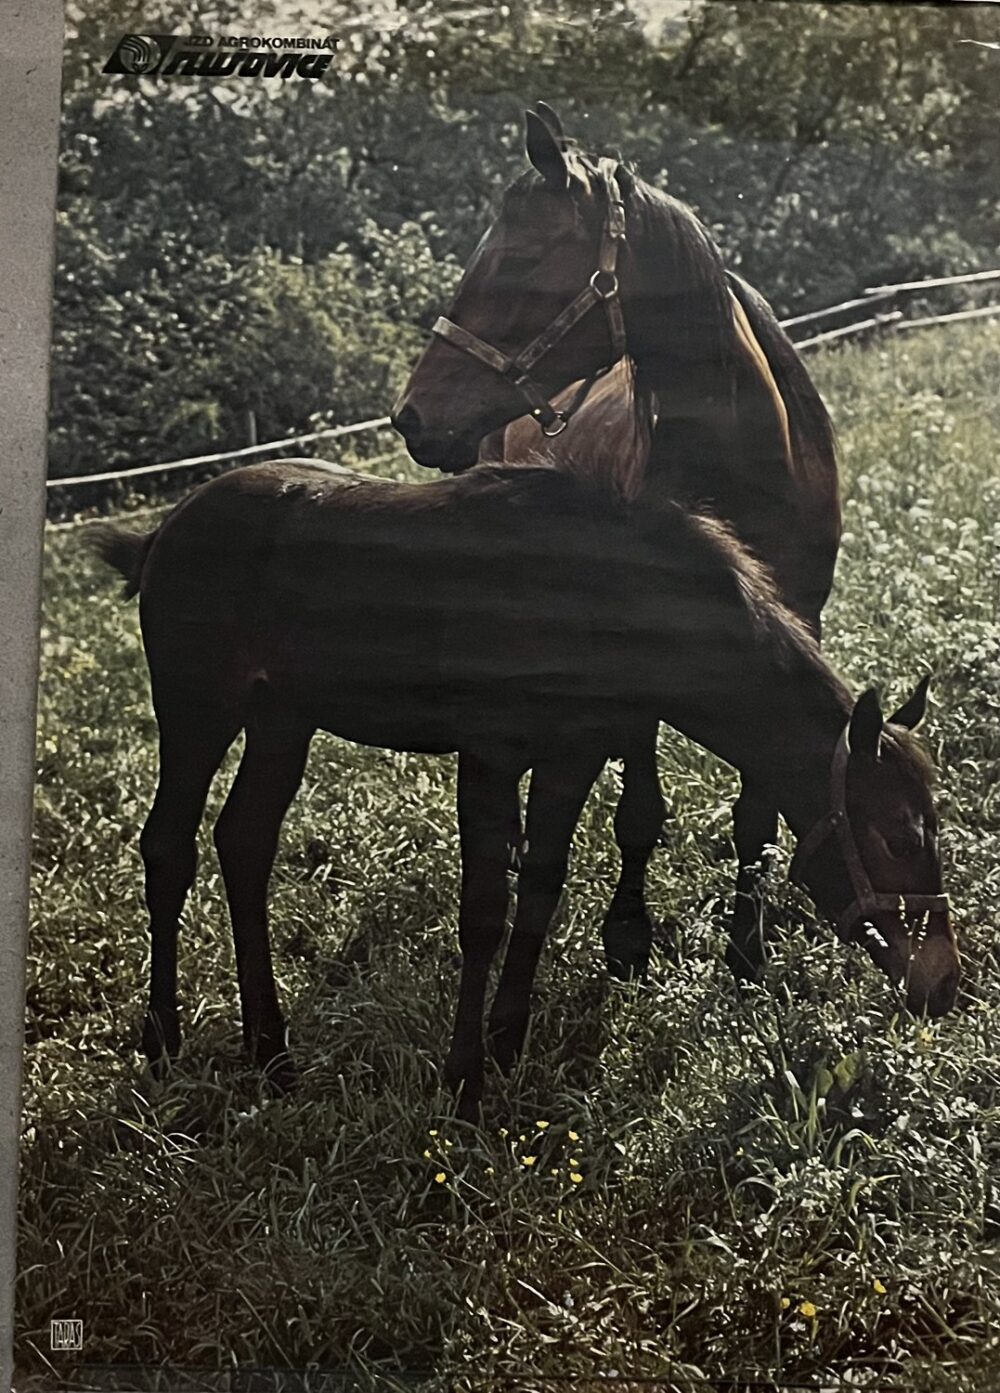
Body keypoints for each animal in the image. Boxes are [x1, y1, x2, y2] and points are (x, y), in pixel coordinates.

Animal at [96, 459, 963, 1119]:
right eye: (893, 834)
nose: (943, 982)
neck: (599, 593)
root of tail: (163, 532)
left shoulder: (569, 758)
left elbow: (541, 891)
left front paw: (507, 1043)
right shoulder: (490, 756)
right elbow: (485, 909)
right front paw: (464, 1077)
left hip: (282, 720)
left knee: (244, 842)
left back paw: (271, 1049)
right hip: (198, 708)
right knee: (169, 845)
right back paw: (163, 1038)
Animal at [395, 103, 841, 986]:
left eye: (522, 257)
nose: (413, 417)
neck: (751, 467)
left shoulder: (790, 633)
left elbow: (758, 807)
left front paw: (748, 946)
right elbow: (639, 810)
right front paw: (628, 936)